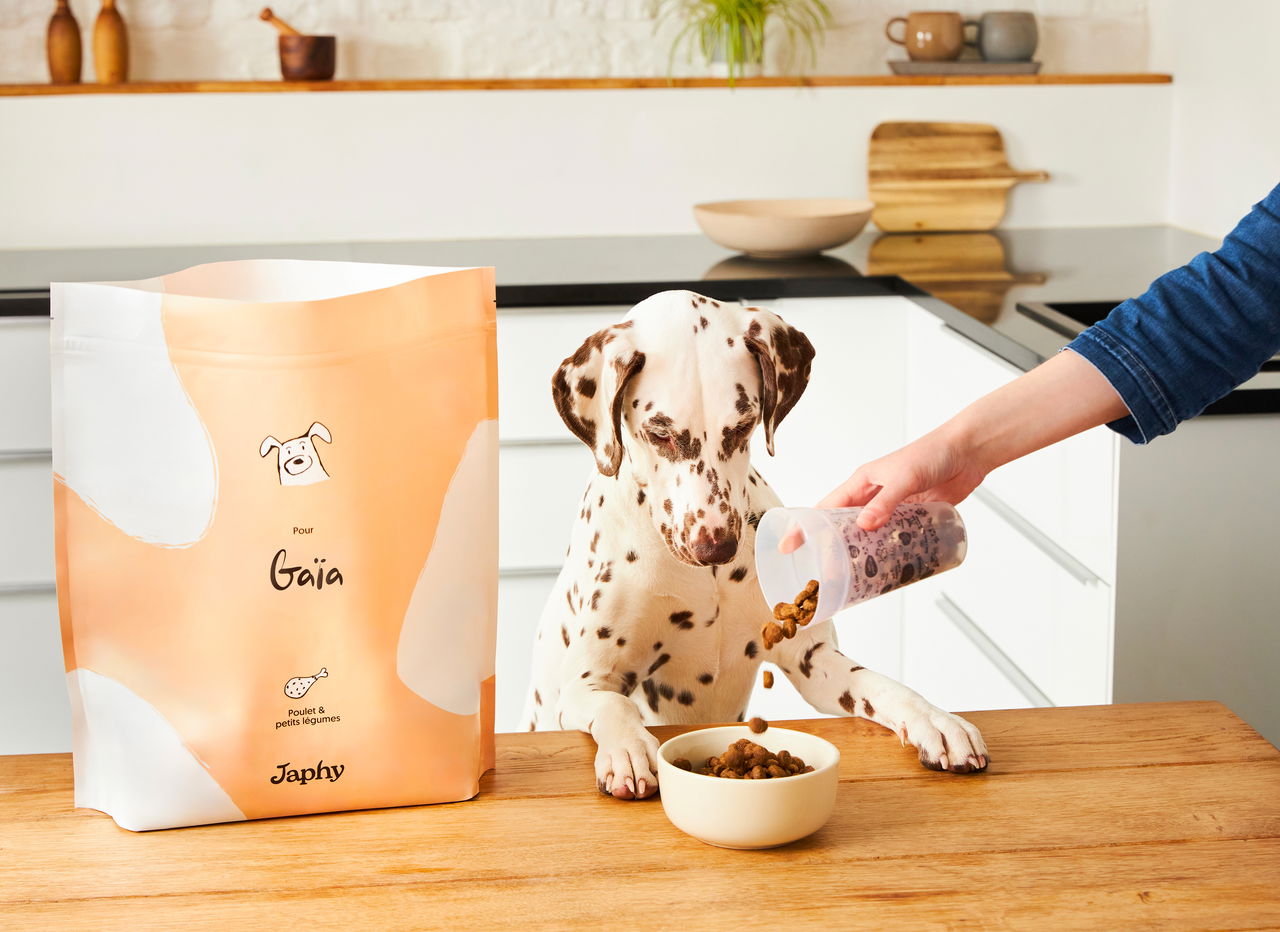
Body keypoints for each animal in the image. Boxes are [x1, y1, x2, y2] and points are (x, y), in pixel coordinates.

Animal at [522, 290, 989, 800]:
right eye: (660, 434)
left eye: (742, 427)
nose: (716, 548)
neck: (706, 581)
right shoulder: (584, 685)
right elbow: (615, 707)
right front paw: (628, 748)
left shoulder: (811, 658)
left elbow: (877, 683)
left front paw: (933, 719)